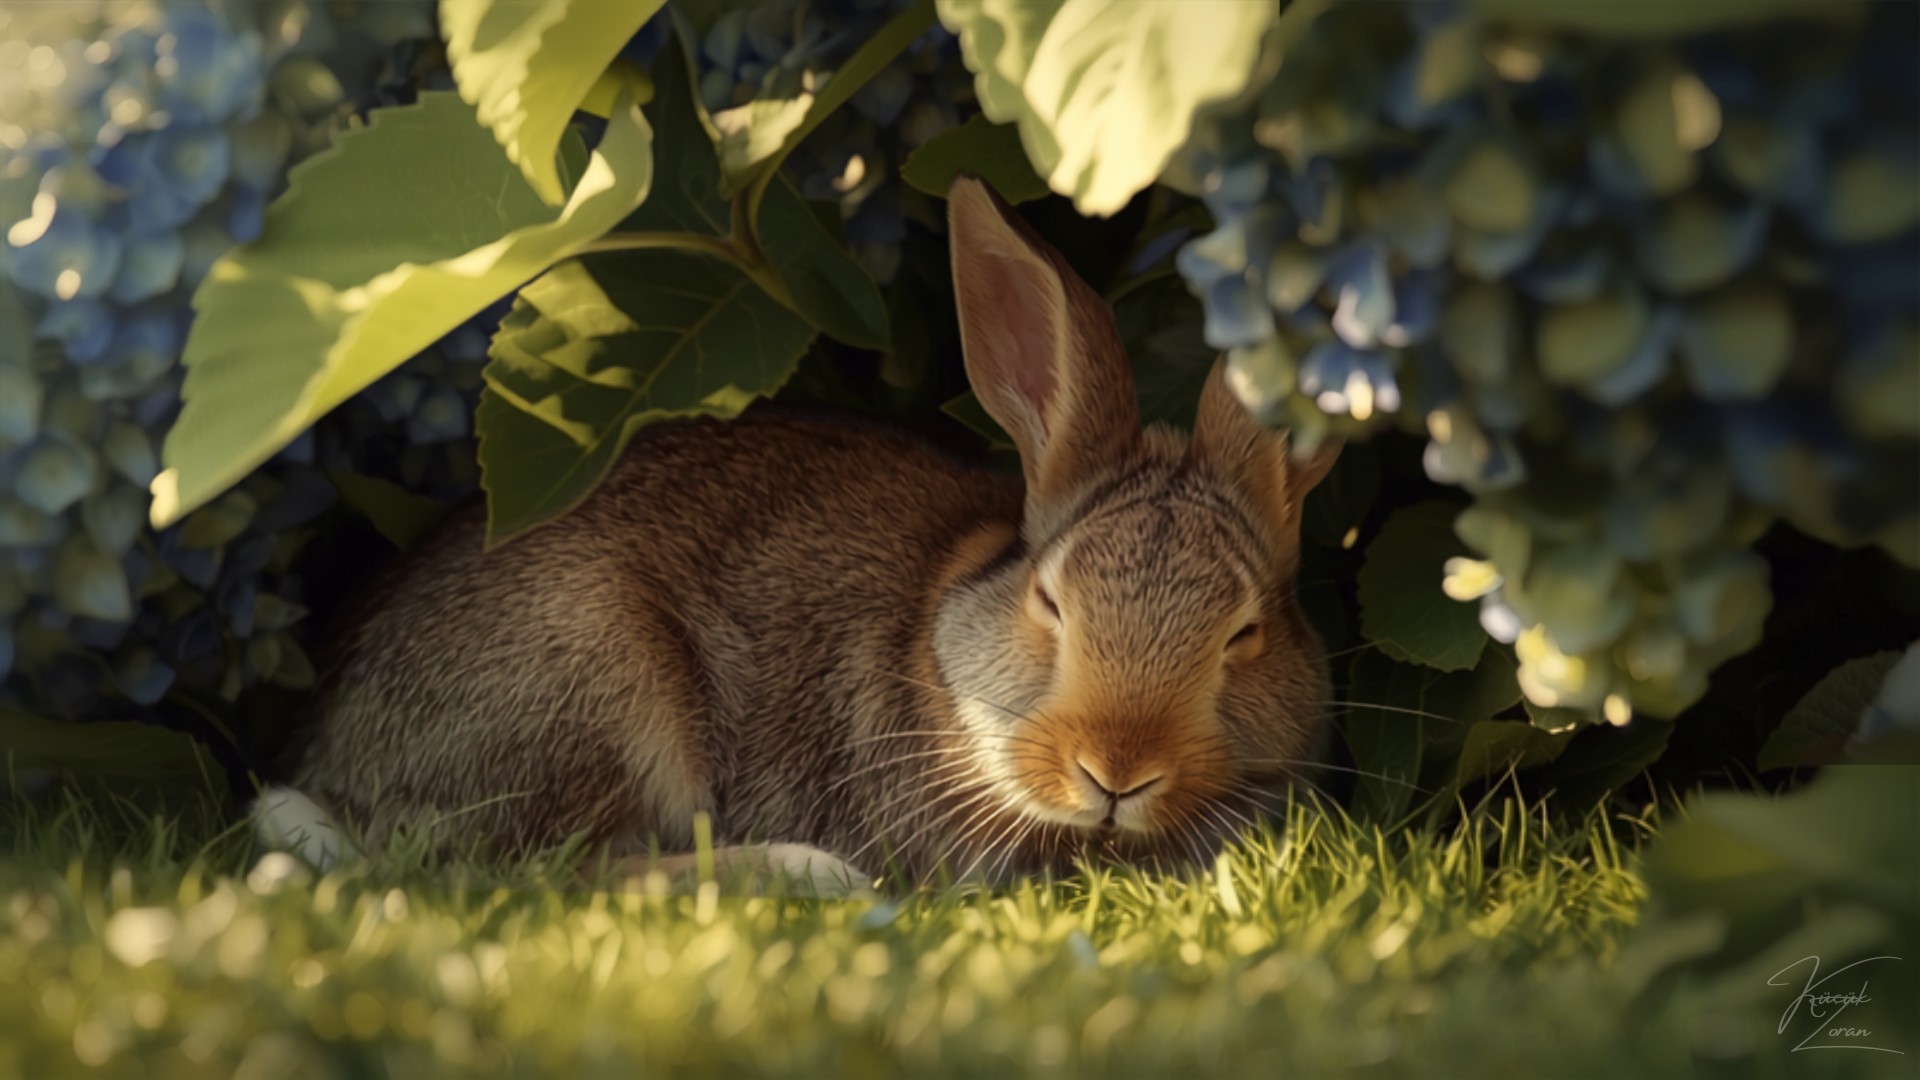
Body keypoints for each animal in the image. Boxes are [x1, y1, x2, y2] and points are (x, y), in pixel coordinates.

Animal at [254, 176, 1341, 895]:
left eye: (1245, 633)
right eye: (1051, 603)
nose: (1115, 774)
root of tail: (336, 763)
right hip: (589, 673)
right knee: (538, 873)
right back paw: (812, 873)